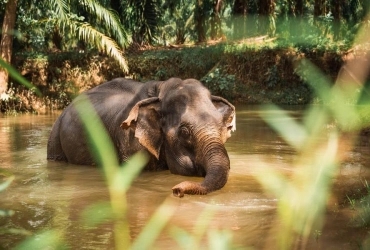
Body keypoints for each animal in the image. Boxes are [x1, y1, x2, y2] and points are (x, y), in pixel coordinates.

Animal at [47, 77, 236, 197]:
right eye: (184, 132)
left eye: (223, 126)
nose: (176, 190)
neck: (160, 93)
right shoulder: (129, 138)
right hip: (55, 137)